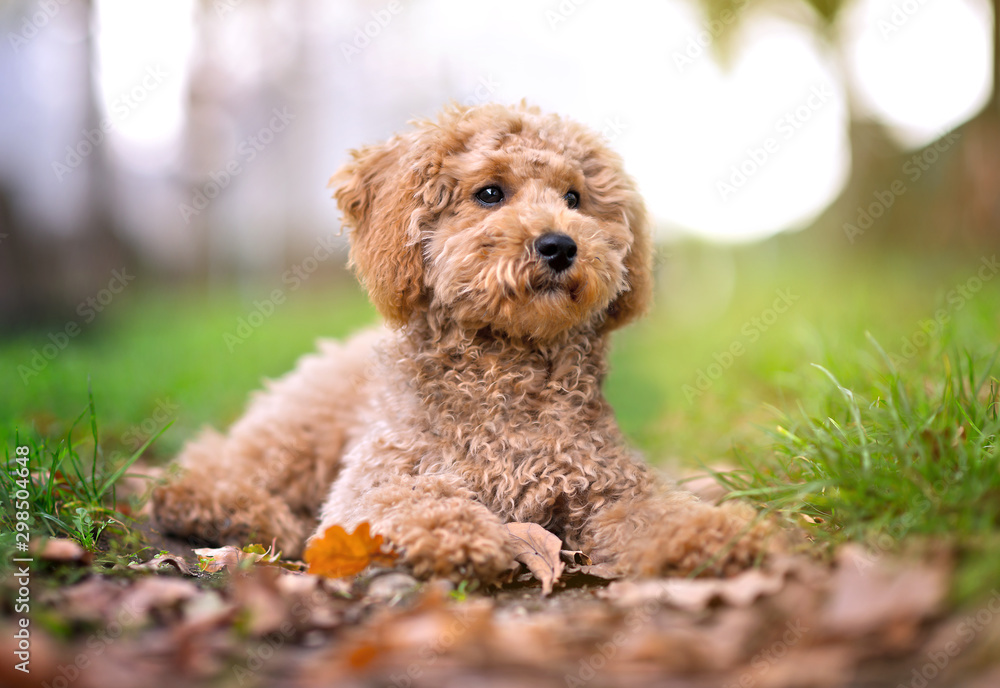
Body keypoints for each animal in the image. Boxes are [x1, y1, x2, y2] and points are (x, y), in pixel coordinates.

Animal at [152, 101, 768, 580]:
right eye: (489, 193)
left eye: (574, 198)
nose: (559, 245)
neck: (509, 365)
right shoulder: (382, 476)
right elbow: (410, 500)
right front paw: (456, 535)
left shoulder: (609, 484)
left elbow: (660, 512)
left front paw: (718, 534)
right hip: (299, 431)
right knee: (209, 464)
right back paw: (232, 509)